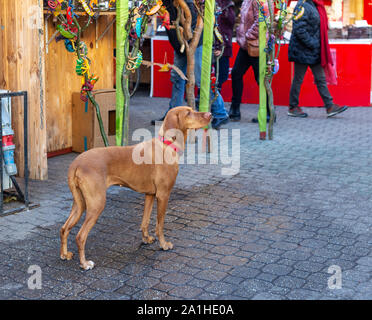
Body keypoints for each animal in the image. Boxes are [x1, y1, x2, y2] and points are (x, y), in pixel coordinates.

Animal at [59, 107, 211, 270]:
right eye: (188, 113)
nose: (210, 114)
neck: (166, 145)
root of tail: (76, 163)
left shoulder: (150, 195)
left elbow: (145, 221)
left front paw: (146, 239)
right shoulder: (163, 195)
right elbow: (160, 225)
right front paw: (164, 245)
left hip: (79, 204)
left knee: (64, 228)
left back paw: (64, 254)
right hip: (96, 204)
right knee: (80, 236)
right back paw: (84, 263)